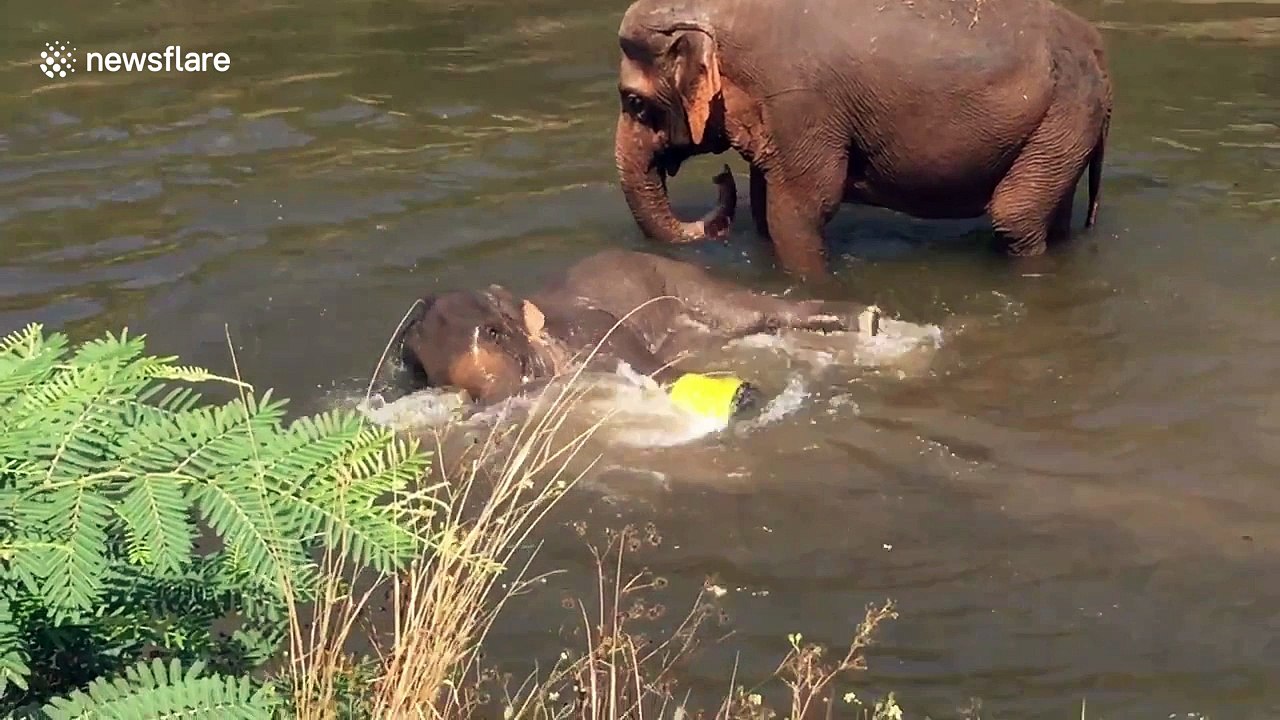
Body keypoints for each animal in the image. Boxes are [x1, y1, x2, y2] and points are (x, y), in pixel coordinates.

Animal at [395, 240, 873, 407]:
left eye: (496, 330)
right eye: (417, 359)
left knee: (756, 308)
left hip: (691, 285)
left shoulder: (597, 334)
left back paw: (869, 319)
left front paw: (747, 396)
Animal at [612, 0, 1114, 278]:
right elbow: (763, 206)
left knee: (1015, 216)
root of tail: (1096, 48)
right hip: (1063, 125)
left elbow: (801, 210)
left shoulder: (800, 102)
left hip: (1068, 111)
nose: (720, 176)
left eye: (634, 102)